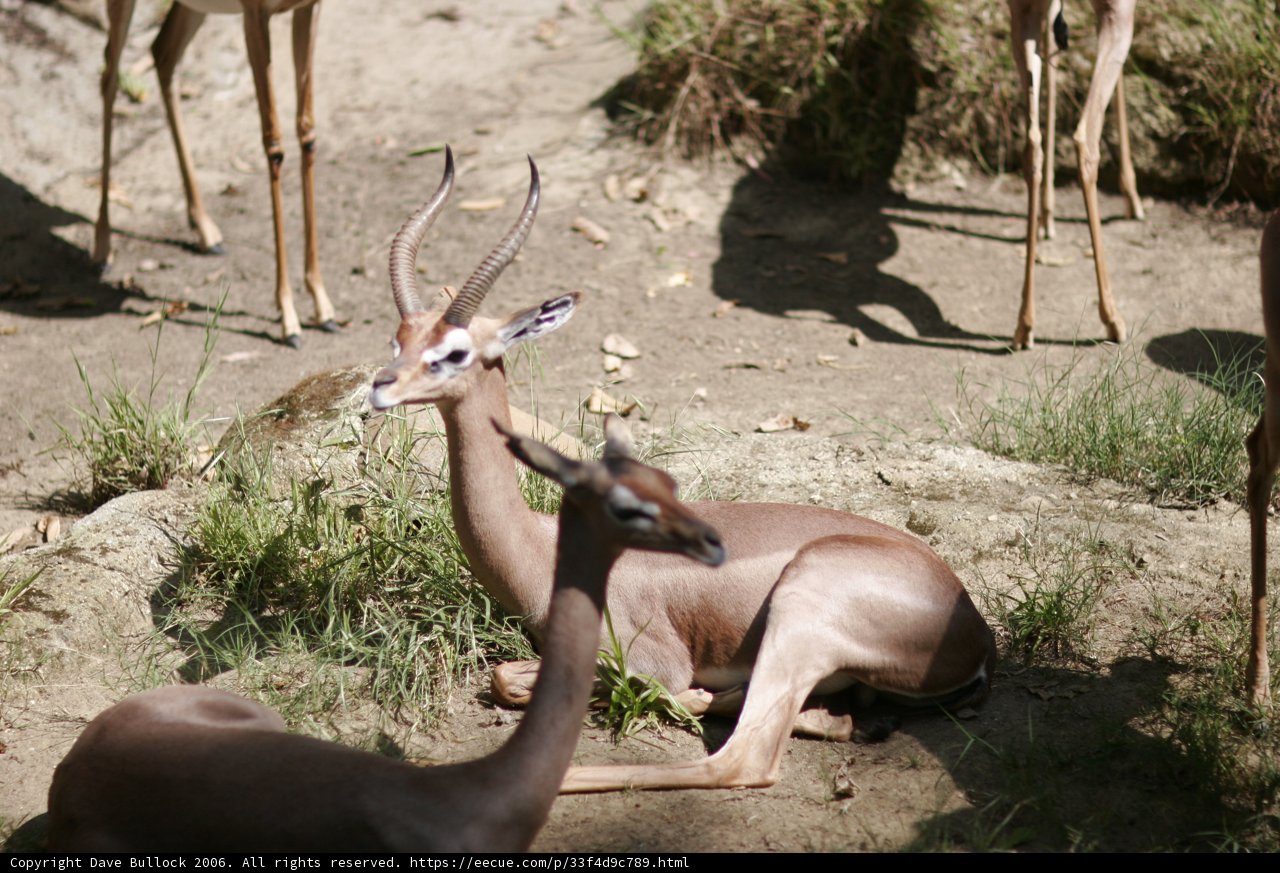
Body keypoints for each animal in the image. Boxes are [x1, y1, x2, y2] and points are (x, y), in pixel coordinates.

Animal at [96, 0, 337, 347]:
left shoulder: (309, 9)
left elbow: (307, 132)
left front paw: (322, 304)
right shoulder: (256, 17)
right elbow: (273, 142)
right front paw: (288, 317)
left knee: (163, 54)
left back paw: (207, 231)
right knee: (110, 77)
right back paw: (102, 248)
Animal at [369, 148, 996, 790]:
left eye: (454, 352)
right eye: (399, 338)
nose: (380, 387)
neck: (540, 549)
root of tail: (972, 624)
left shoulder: (650, 659)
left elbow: (543, 680)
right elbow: (503, 677)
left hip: (800, 613)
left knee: (742, 758)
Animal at [1008, 0, 1144, 350]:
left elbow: (1054, 50)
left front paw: (1048, 215)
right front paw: (1132, 196)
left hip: (1021, 15)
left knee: (1032, 145)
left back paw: (1024, 325)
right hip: (1117, 15)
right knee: (1085, 137)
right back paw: (1113, 319)